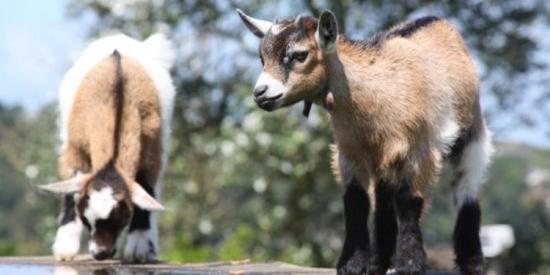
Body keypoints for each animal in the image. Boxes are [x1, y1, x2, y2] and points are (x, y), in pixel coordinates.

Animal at [40, 34, 176, 264]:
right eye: (86, 219)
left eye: (119, 219)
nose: (99, 254)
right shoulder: (76, 147)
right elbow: (70, 189)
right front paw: (65, 249)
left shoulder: (151, 150)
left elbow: (147, 187)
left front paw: (139, 248)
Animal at [239, 9, 494, 275]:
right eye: (262, 58)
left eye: (300, 55)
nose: (260, 93)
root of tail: (436, 19)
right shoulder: (349, 152)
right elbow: (356, 202)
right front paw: (351, 264)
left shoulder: (418, 149)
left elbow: (409, 200)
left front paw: (410, 264)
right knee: (383, 199)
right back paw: (379, 262)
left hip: (473, 130)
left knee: (466, 187)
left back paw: (472, 262)